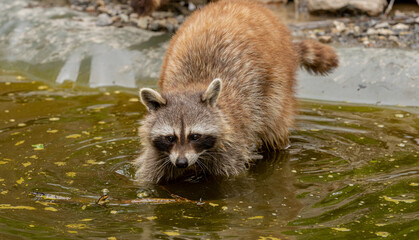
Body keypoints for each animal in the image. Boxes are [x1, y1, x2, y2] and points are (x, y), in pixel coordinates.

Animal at [133, 0, 340, 182]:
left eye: (195, 136)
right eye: (169, 138)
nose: (182, 163)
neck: (188, 86)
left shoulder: (231, 142)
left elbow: (230, 178)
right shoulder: (161, 154)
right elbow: (151, 177)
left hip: (277, 85)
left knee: (274, 128)